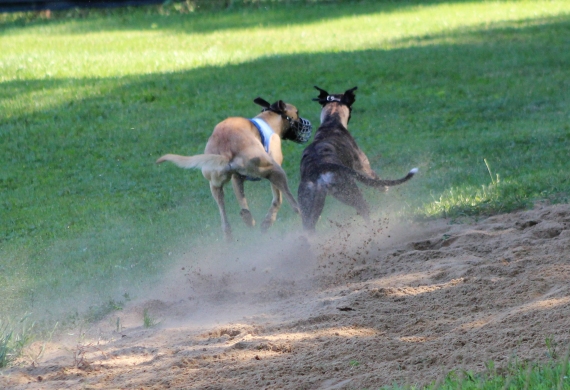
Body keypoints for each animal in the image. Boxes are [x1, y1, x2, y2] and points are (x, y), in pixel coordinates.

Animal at [156, 96, 310, 241]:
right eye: (297, 112)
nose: (307, 125)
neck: (268, 119)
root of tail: (225, 149)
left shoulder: (237, 178)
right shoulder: (274, 167)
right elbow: (278, 199)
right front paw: (268, 222)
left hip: (215, 183)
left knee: (226, 211)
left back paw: (238, 227)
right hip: (274, 170)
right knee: (291, 202)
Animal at [298, 86, 418, 232]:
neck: (331, 121)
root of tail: (319, 168)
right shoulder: (363, 167)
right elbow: (375, 178)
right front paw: (384, 188)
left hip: (310, 207)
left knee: (308, 228)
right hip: (350, 192)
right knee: (364, 210)